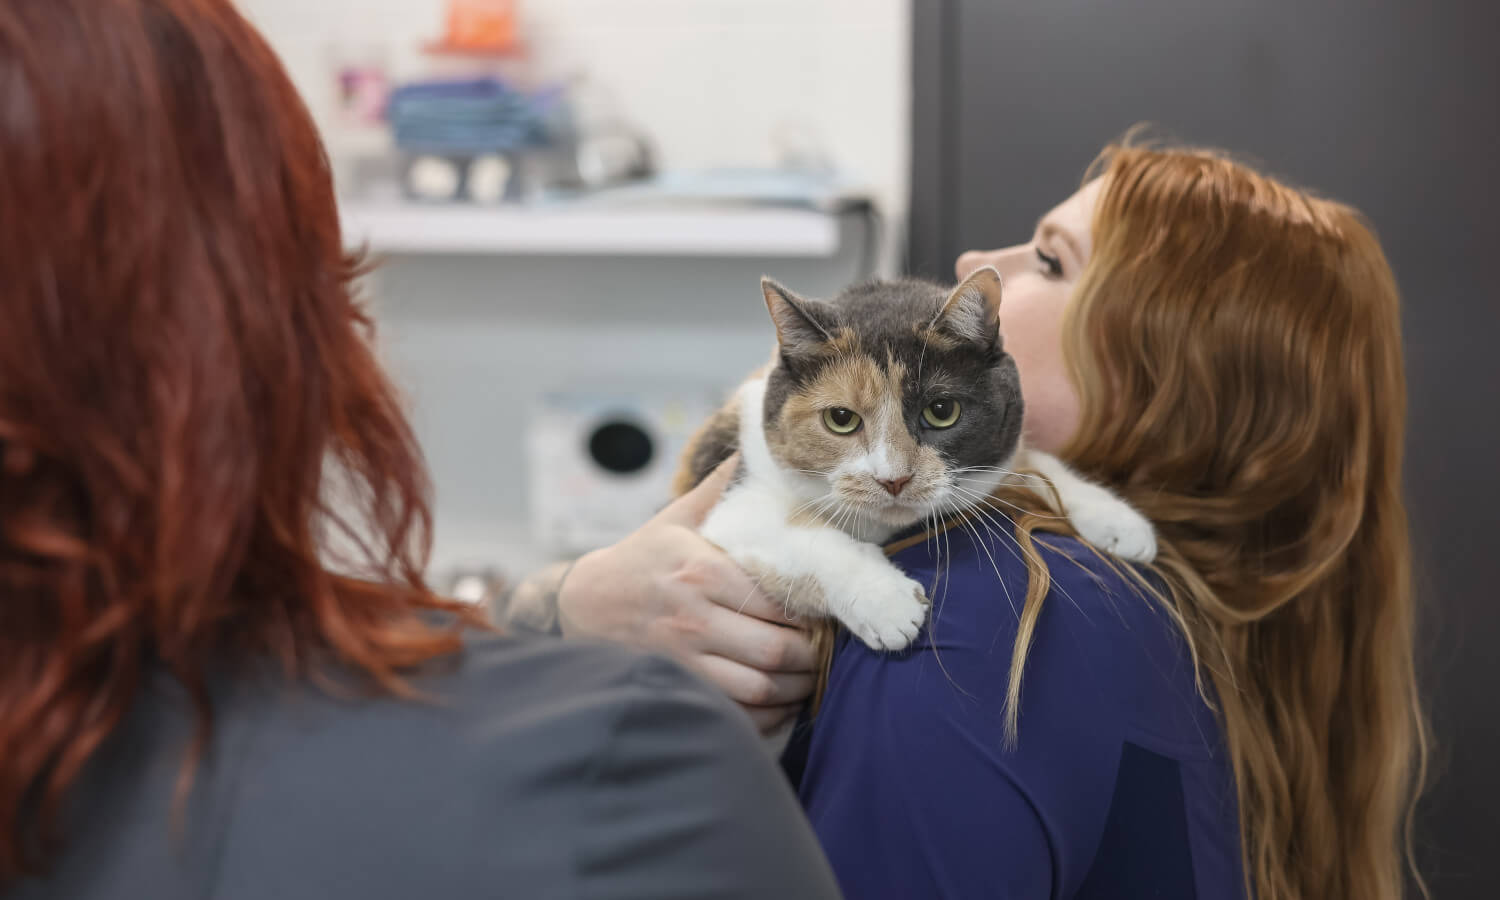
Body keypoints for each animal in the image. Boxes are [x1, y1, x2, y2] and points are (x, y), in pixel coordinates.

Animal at [675, 264, 1152, 651]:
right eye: (841, 419)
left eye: (941, 411)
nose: (894, 479)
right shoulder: (740, 502)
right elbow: (807, 536)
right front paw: (885, 603)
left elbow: (1039, 464)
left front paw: (1119, 520)